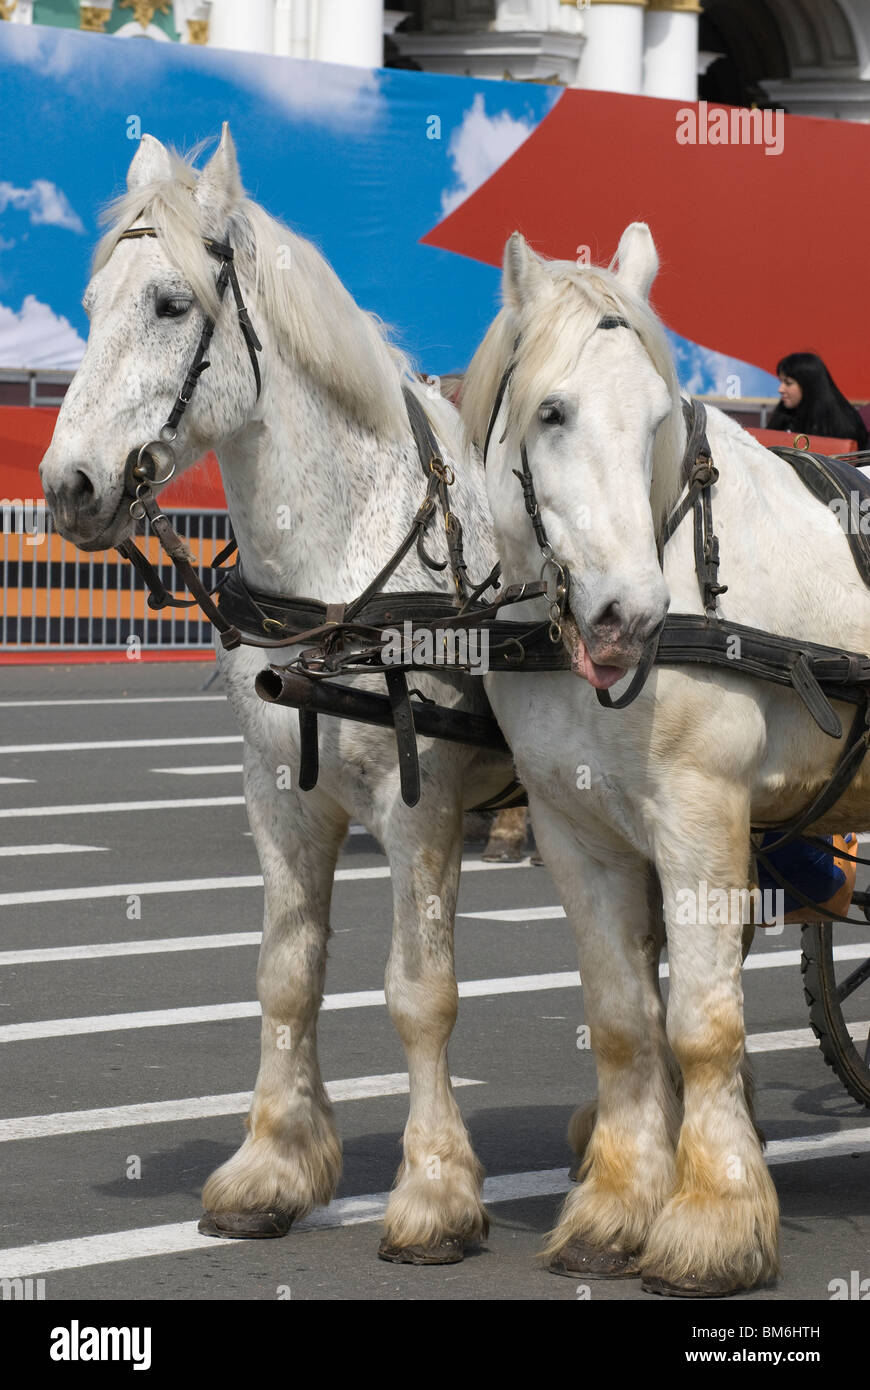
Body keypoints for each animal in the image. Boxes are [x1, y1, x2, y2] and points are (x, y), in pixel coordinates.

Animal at [39, 126, 514, 1264]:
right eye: (90, 304)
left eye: (171, 305)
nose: (69, 487)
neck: (337, 573)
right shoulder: (280, 800)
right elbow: (284, 976)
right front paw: (274, 1167)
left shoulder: (424, 806)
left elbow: (420, 992)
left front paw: (436, 1191)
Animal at [461, 223, 870, 1296]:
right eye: (551, 412)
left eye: (654, 418)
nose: (628, 617)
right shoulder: (577, 832)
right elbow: (623, 1020)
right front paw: (615, 1207)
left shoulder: (701, 818)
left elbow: (702, 1022)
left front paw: (713, 1220)